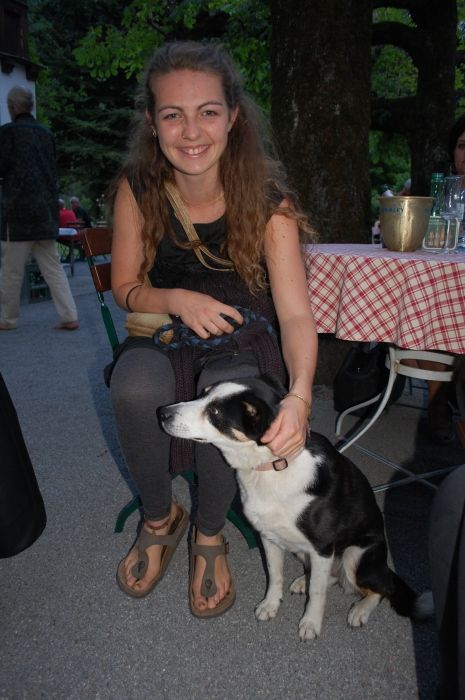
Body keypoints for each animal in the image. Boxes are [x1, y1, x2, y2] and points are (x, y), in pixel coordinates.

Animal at [159, 375, 432, 640]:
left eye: (214, 411)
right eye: (203, 393)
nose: (163, 413)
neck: (273, 465)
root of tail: (384, 565)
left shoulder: (323, 547)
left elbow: (318, 594)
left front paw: (310, 624)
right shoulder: (268, 537)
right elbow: (275, 575)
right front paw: (270, 605)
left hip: (355, 555)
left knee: (381, 587)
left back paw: (360, 610)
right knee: (332, 577)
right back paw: (304, 581)